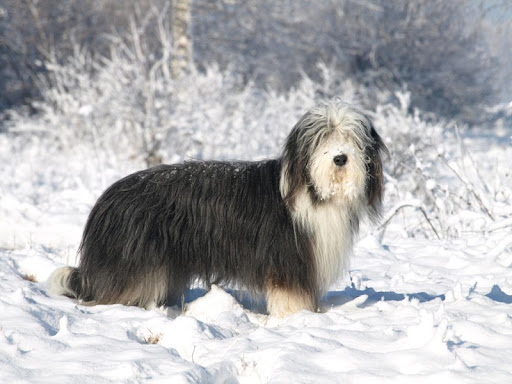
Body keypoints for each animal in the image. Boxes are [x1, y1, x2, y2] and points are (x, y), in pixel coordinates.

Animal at [48, 100, 386, 318]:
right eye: (322, 137)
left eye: (352, 138)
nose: (340, 158)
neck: (315, 191)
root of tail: (107, 200)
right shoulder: (287, 260)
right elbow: (290, 295)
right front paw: (296, 317)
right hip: (135, 261)